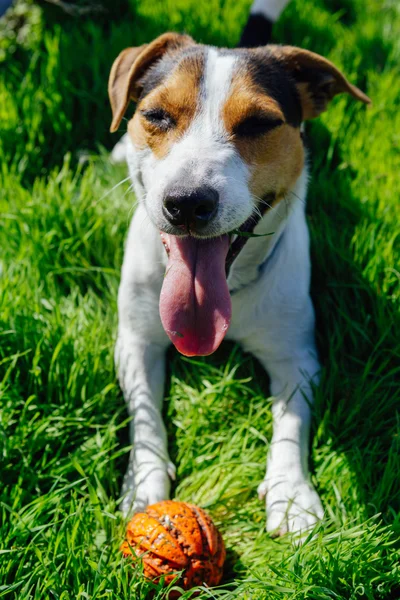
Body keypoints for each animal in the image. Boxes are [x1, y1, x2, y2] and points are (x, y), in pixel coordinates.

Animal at [108, 0, 370, 536]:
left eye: (258, 124)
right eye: (156, 115)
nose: (187, 202)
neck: (231, 283)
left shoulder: (296, 355)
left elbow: (291, 422)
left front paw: (291, 495)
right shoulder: (135, 342)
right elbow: (145, 416)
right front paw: (144, 486)